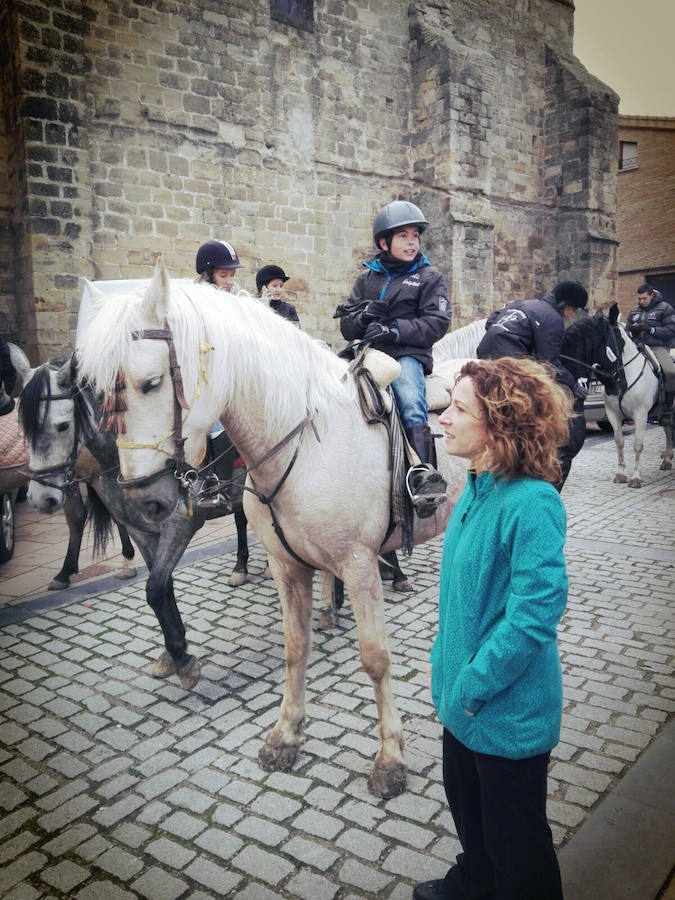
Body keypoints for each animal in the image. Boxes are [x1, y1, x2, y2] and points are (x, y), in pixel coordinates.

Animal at [79, 260, 470, 796]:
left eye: (151, 382)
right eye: (93, 391)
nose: (145, 498)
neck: (306, 439)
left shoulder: (359, 565)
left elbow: (375, 658)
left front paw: (390, 759)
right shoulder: (288, 566)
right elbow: (295, 647)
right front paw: (286, 735)